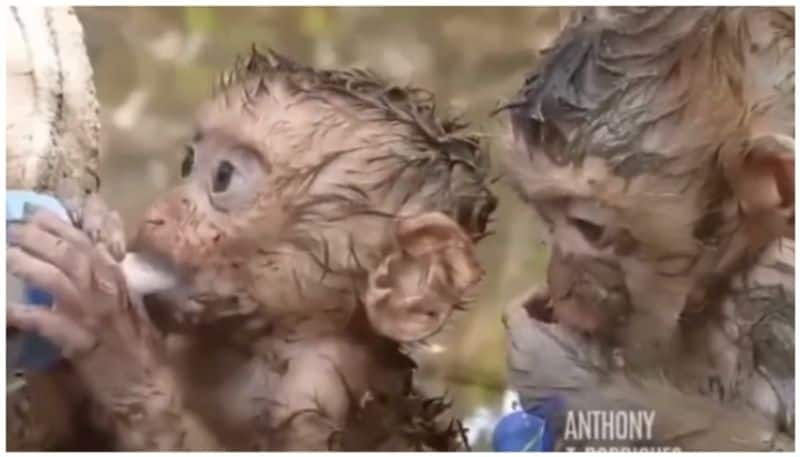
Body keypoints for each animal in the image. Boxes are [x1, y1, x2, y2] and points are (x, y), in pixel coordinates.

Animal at [4, 49, 494, 448]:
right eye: (189, 163)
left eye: (223, 176)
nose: (158, 215)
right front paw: (96, 223)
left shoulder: (315, 393)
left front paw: (108, 324)